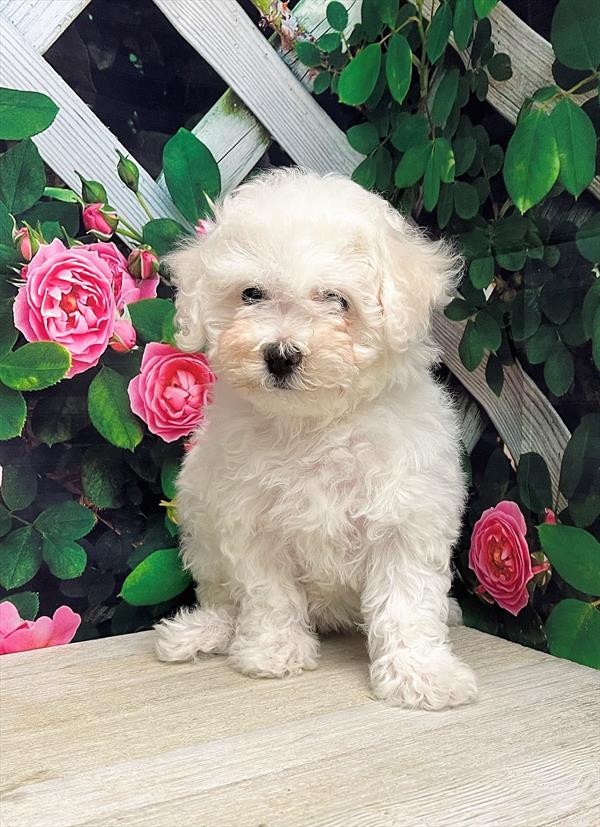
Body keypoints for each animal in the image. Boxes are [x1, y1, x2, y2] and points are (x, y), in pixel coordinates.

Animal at [155, 170, 478, 712]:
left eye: (336, 299)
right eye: (251, 294)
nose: (280, 355)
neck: (315, 427)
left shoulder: (405, 518)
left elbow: (406, 602)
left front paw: (421, 675)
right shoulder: (250, 519)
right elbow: (268, 594)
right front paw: (273, 651)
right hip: (201, 522)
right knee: (222, 597)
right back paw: (202, 632)